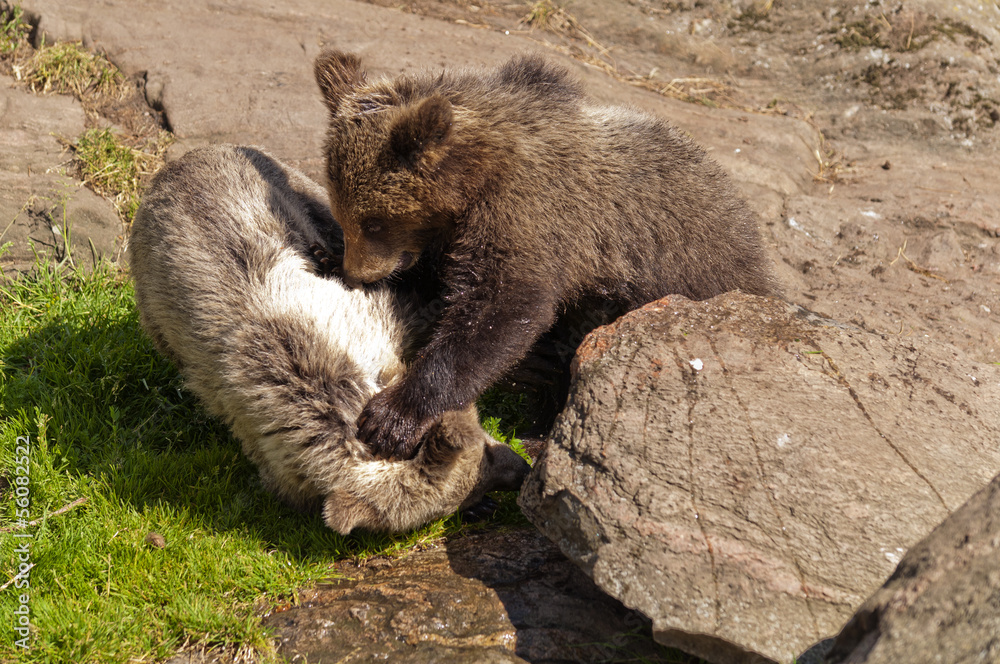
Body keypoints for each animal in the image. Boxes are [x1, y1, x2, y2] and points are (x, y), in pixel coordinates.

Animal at [128, 144, 529, 535]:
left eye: (485, 454)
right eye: (450, 507)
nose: (521, 469)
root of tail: (178, 162)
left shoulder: (376, 315)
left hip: (299, 191)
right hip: (154, 305)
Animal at [313, 50, 780, 460]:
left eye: (374, 222)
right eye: (344, 211)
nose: (358, 272)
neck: (477, 174)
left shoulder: (534, 215)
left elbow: (502, 308)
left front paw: (393, 417)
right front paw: (325, 255)